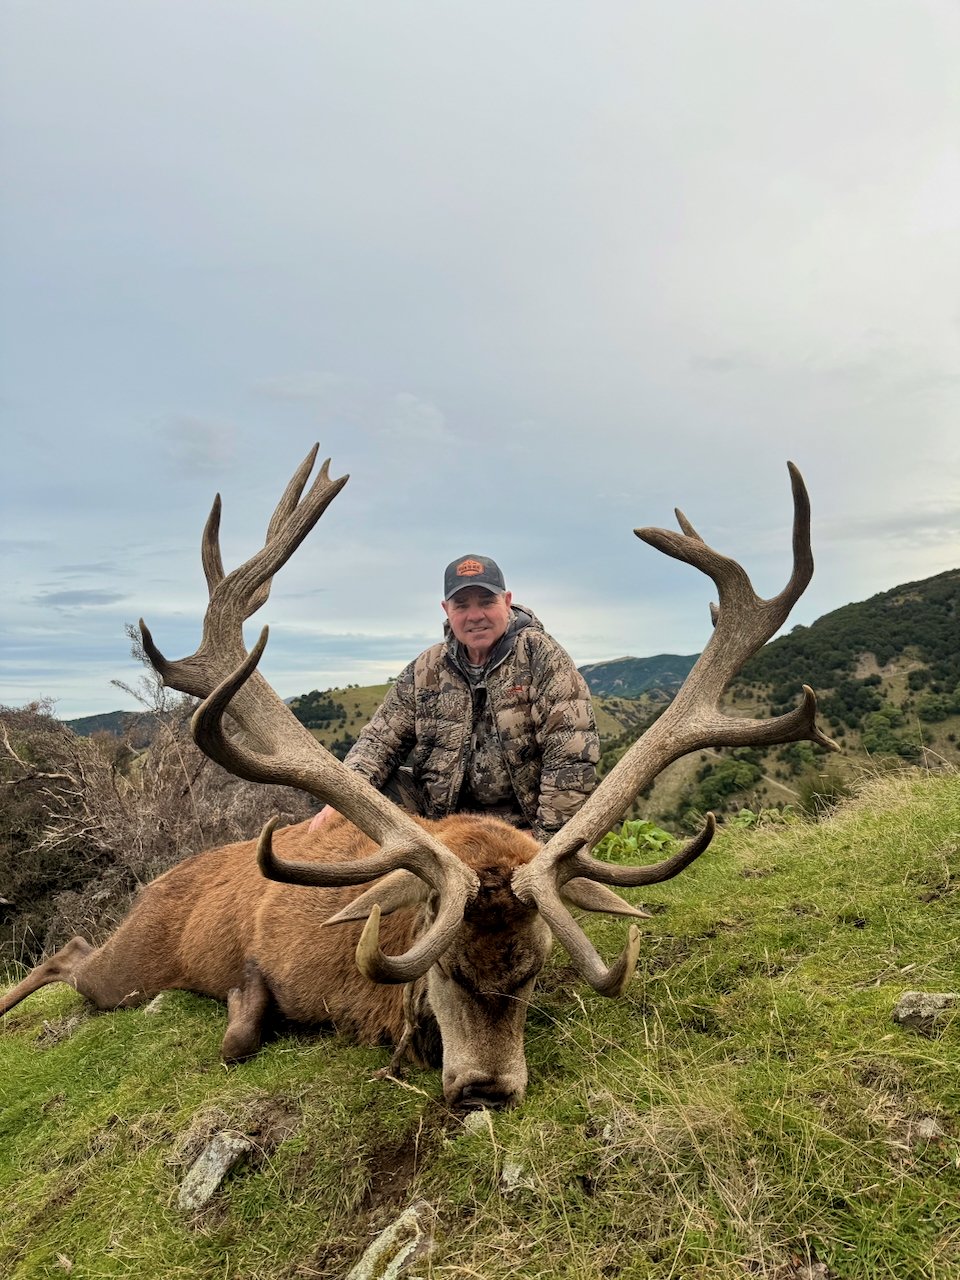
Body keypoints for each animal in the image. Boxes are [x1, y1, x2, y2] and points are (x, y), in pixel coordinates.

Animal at [1, 447, 836, 1110]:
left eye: (534, 970)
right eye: (446, 970)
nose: (488, 1090)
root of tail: (156, 882)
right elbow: (240, 1031)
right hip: (130, 963)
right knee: (64, 951)